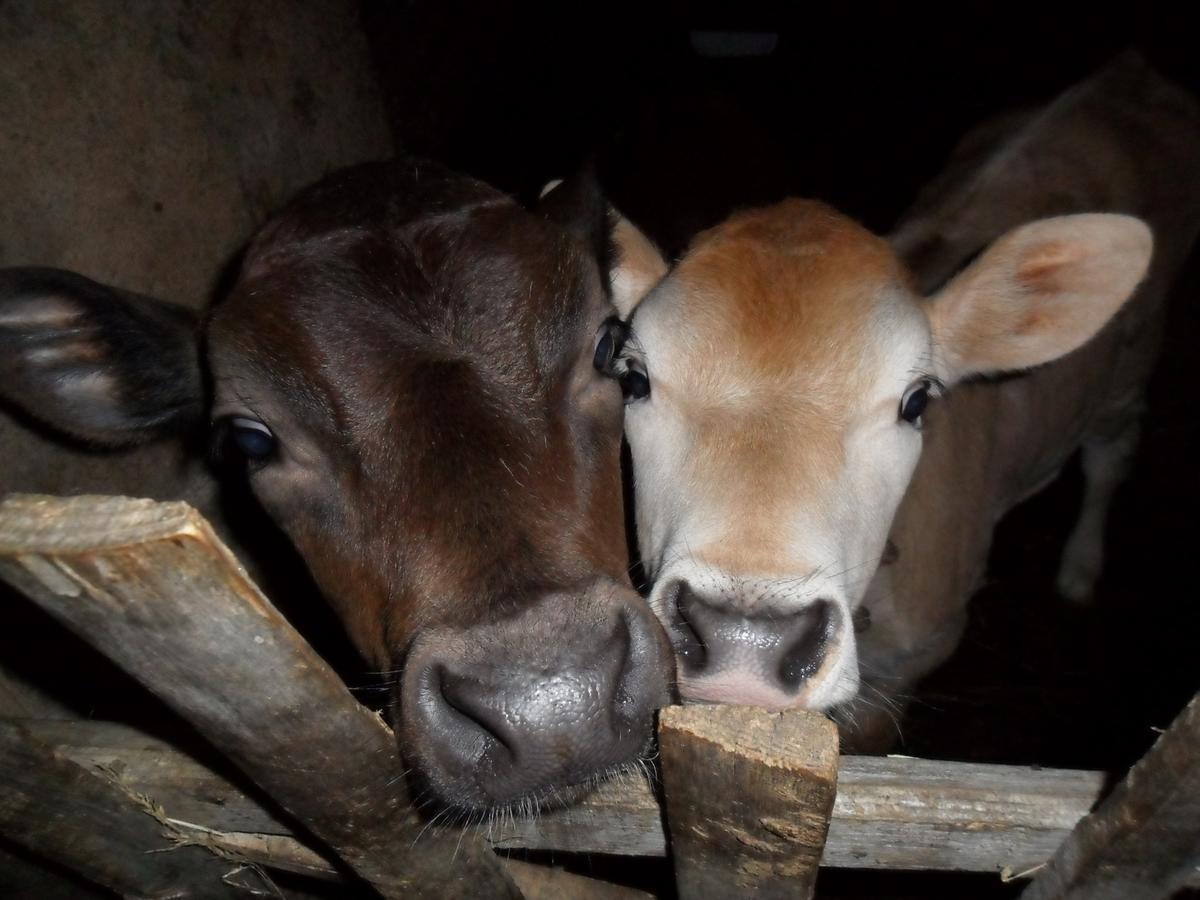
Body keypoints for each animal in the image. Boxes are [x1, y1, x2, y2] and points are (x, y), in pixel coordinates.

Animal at [619, 52, 1200, 748]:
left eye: (917, 401)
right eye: (634, 378)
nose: (743, 639)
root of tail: (1127, 73)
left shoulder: (910, 666)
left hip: (1130, 367)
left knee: (1110, 458)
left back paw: (1081, 570)